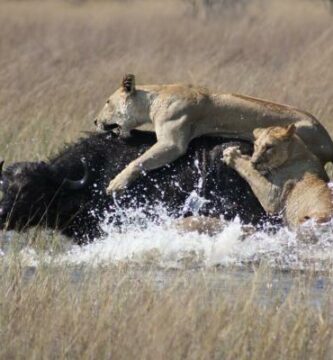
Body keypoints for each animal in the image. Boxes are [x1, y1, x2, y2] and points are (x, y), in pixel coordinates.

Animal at [94, 74, 332, 195]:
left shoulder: (173, 142)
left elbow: (138, 161)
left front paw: (117, 182)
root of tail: (326, 137)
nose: (95, 121)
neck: (154, 98)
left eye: (107, 101)